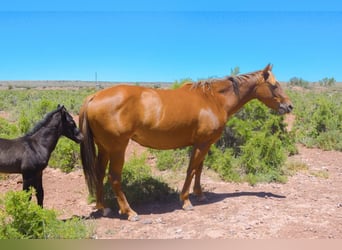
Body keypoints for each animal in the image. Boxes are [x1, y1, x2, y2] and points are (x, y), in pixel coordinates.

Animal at [79, 64, 292, 221]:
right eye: (274, 85)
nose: (289, 106)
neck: (214, 99)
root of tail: (94, 97)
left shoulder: (205, 143)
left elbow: (199, 168)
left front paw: (200, 194)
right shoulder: (201, 144)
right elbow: (191, 169)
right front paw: (186, 201)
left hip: (104, 148)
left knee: (99, 174)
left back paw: (103, 208)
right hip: (118, 148)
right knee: (114, 177)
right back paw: (130, 212)